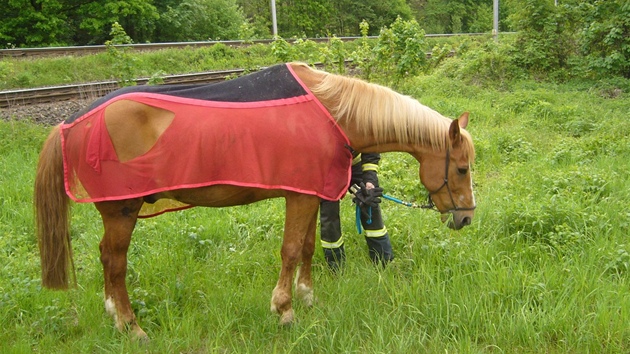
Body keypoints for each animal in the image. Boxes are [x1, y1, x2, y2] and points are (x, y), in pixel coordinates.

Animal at [34, 61, 476, 340]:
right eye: (461, 169)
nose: (467, 219)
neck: (332, 112)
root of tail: (71, 122)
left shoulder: (310, 193)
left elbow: (309, 248)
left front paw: (307, 298)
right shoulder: (299, 196)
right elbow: (291, 250)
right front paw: (284, 311)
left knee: (107, 260)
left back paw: (114, 314)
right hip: (122, 209)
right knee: (114, 261)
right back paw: (131, 327)